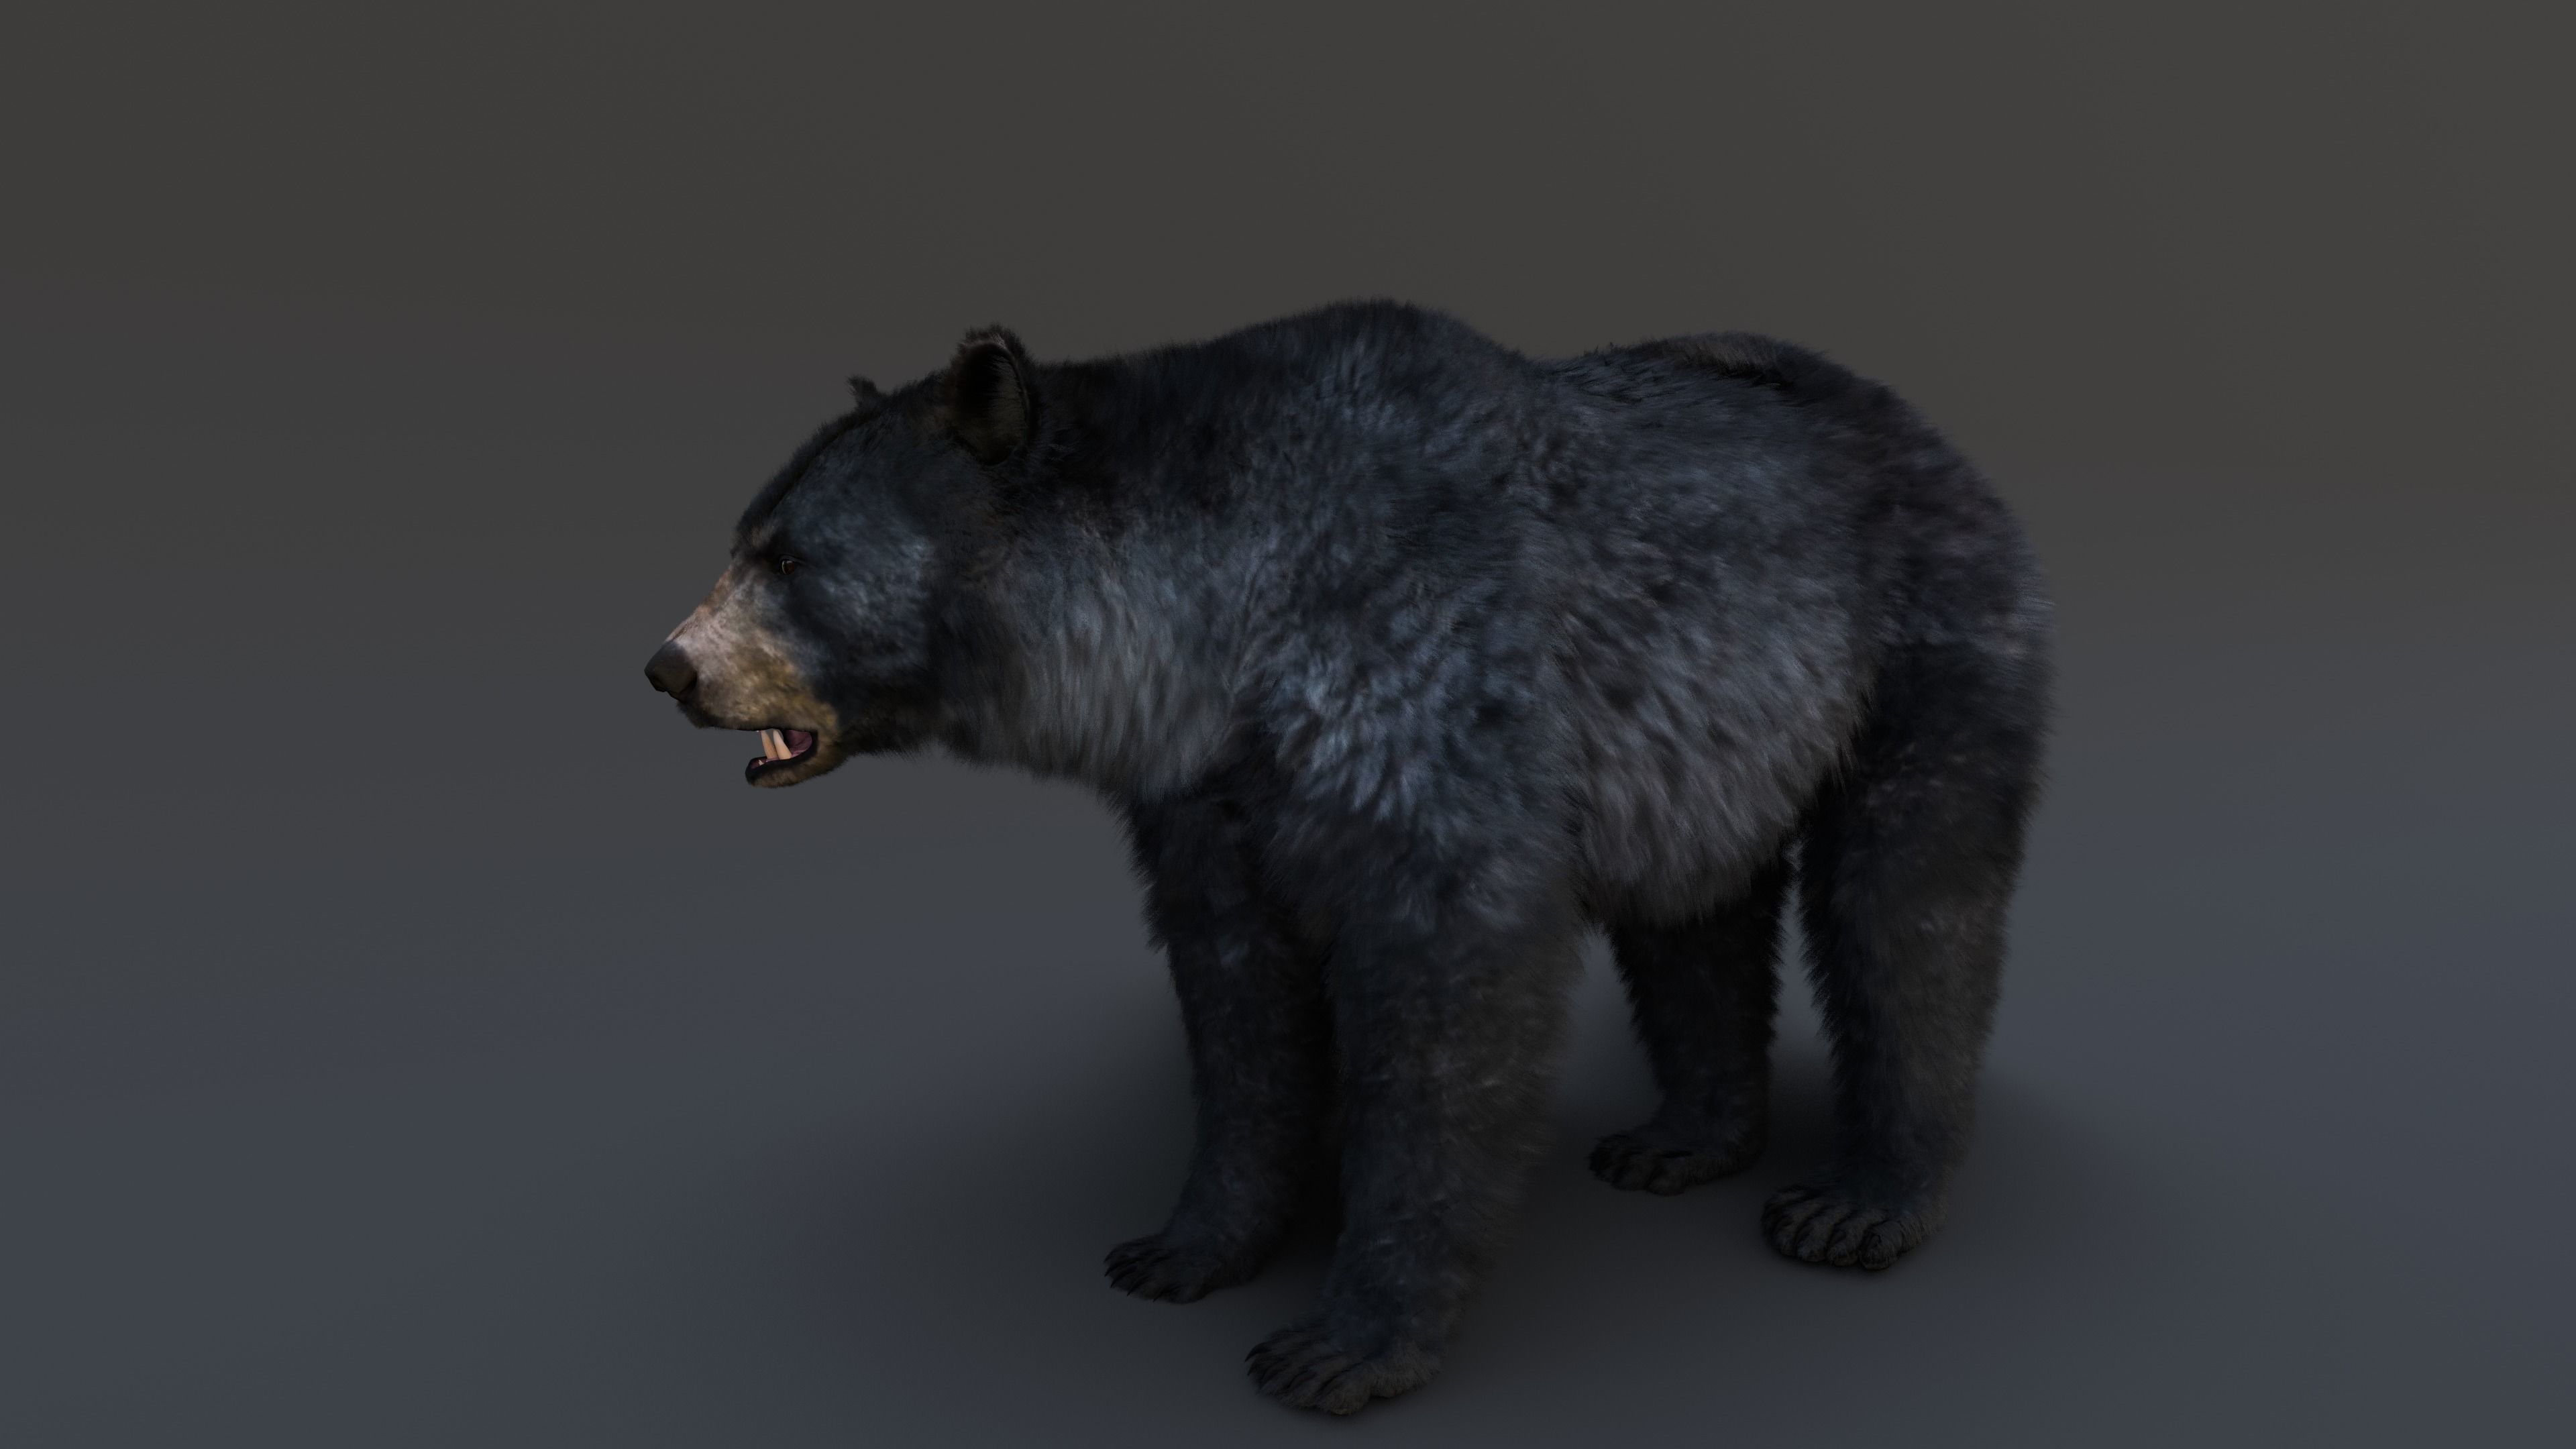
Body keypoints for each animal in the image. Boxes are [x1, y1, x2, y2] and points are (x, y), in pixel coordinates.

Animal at [644, 301, 2052, 1414]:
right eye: (747, 531)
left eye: (788, 556)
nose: (671, 666)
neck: (1218, 620)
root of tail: (1916, 421)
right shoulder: (1208, 787)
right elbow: (1236, 1002)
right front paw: (1184, 1246)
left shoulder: (1422, 689)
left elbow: (1445, 1007)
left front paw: (1342, 1346)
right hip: (1715, 727)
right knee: (1693, 916)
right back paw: (1682, 1139)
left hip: (1920, 640)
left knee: (1906, 903)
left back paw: (1862, 1202)